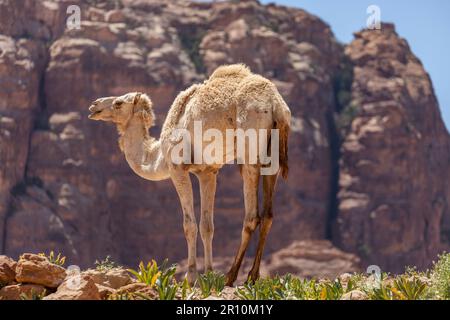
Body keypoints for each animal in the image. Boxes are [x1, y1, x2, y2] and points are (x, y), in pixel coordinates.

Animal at [88, 63, 292, 284]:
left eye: (118, 103)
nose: (94, 106)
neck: (158, 157)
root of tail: (276, 106)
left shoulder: (178, 168)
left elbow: (189, 225)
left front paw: (191, 276)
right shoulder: (208, 172)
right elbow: (207, 226)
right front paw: (209, 273)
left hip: (249, 151)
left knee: (252, 216)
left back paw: (231, 277)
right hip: (271, 155)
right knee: (268, 214)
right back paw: (251, 277)